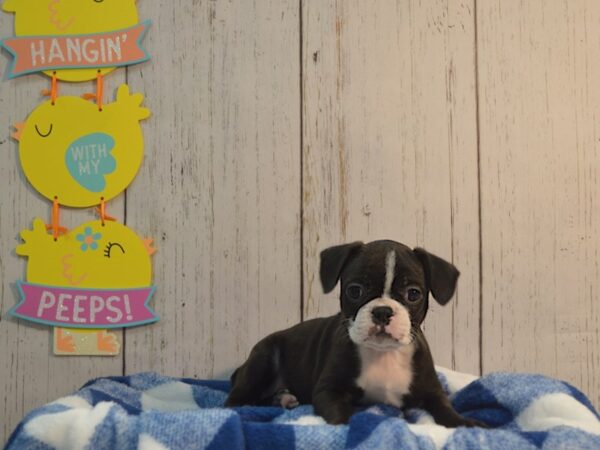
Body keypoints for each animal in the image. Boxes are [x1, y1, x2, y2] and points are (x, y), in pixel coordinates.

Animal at [225, 241, 482, 428]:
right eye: (355, 290)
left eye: (413, 294)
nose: (382, 311)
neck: (383, 354)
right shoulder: (329, 391)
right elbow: (338, 416)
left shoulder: (432, 392)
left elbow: (446, 410)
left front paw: (467, 423)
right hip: (264, 357)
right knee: (235, 400)